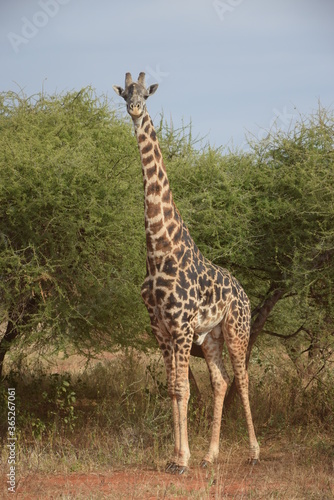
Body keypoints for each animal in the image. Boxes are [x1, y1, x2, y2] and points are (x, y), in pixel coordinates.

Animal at [113, 71, 260, 472]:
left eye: (145, 94)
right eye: (124, 93)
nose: (134, 109)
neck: (159, 248)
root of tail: (244, 293)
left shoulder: (179, 326)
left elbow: (183, 388)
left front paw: (182, 459)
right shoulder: (160, 329)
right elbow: (174, 389)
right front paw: (178, 456)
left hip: (237, 330)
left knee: (242, 378)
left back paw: (254, 451)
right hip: (210, 337)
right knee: (221, 381)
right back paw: (211, 455)